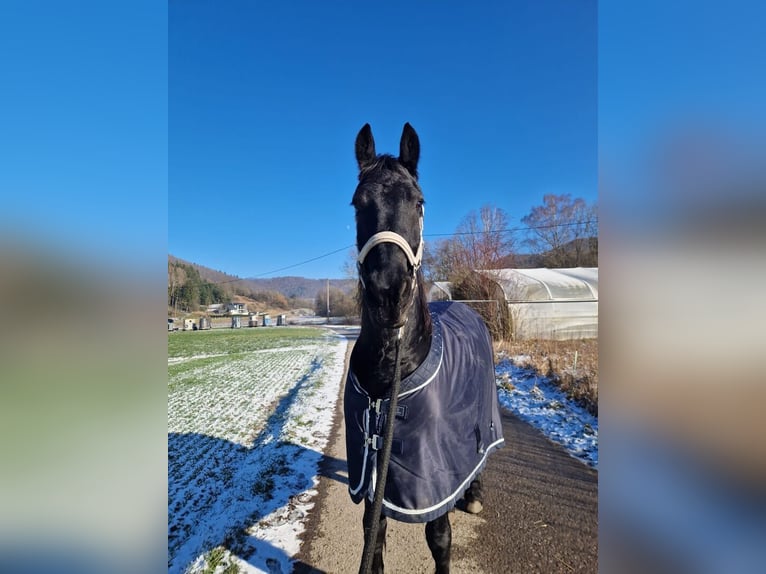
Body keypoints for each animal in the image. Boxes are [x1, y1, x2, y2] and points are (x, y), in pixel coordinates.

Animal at [344, 122, 505, 574]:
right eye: (358, 203)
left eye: (418, 203)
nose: (388, 292)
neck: (392, 370)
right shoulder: (373, 476)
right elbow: (373, 539)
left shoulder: (433, 480)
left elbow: (440, 539)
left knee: (480, 452)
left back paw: (475, 493)